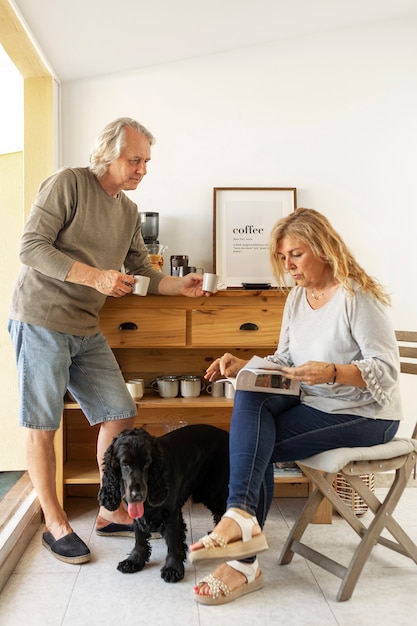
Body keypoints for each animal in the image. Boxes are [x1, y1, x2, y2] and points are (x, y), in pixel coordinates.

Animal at [98, 424, 228, 580]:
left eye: (147, 463)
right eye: (125, 463)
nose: (137, 495)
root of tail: (226, 434)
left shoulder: (170, 512)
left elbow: (173, 541)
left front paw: (173, 568)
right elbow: (139, 538)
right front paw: (135, 560)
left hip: (212, 492)